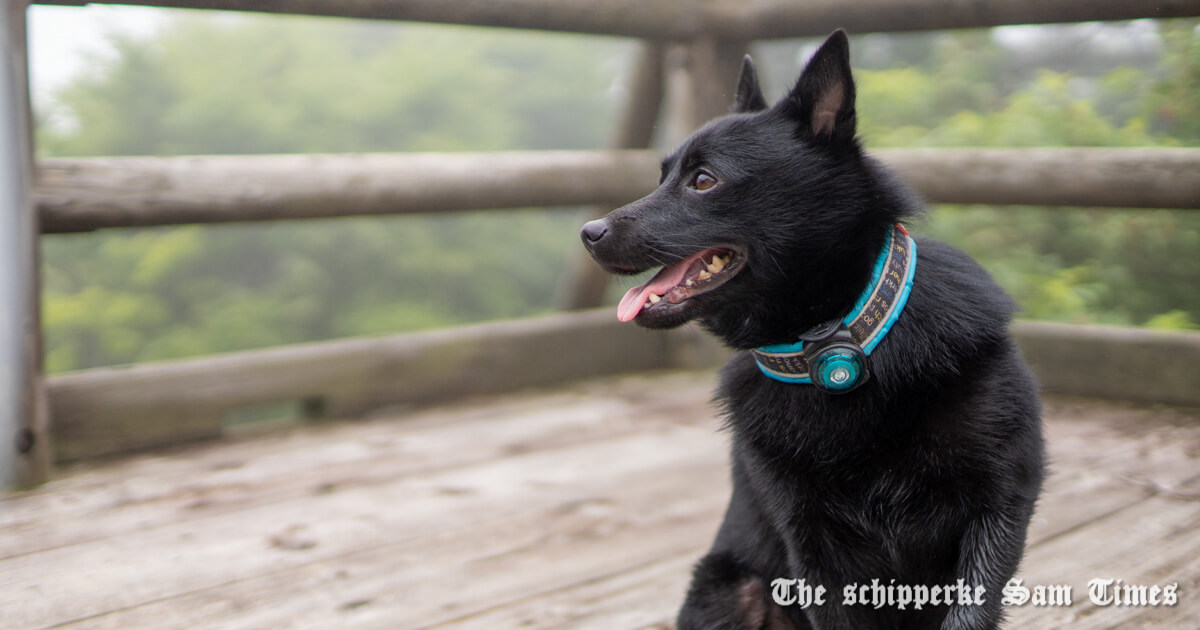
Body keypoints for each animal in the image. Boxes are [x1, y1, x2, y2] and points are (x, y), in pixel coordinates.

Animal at [578, 30, 1041, 628]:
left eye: (703, 180)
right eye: (662, 177)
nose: (589, 232)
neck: (838, 345)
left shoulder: (998, 506)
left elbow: (970, 610)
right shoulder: (816, 550)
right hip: (734, 590)